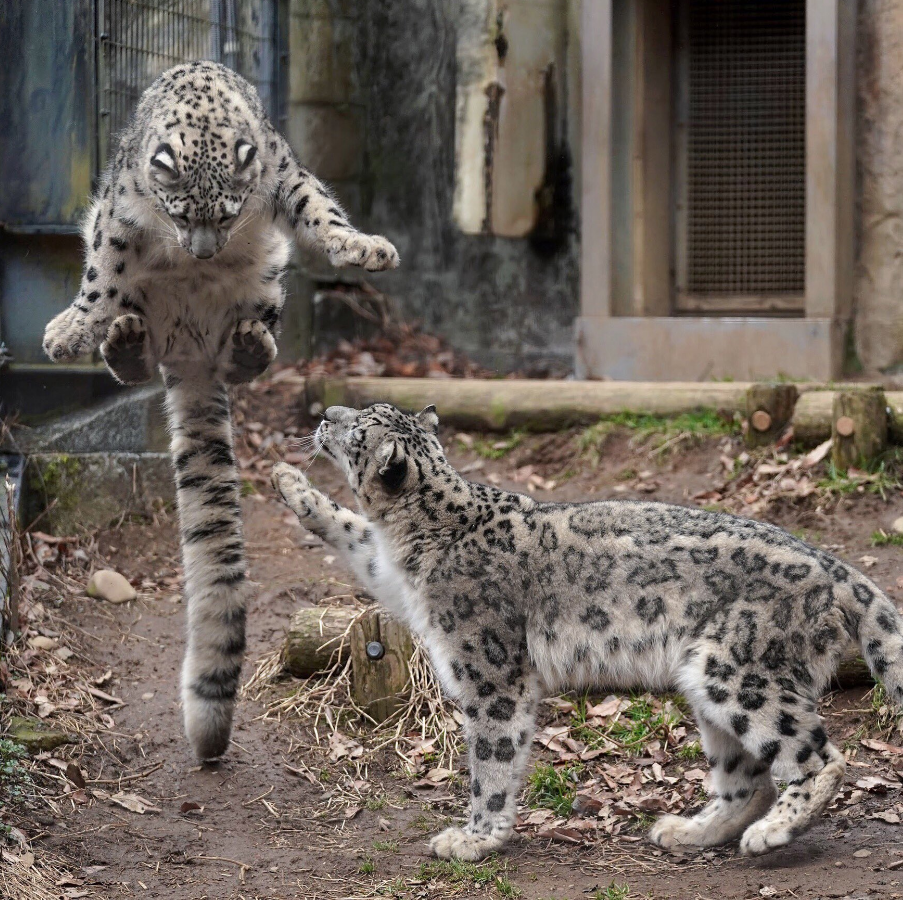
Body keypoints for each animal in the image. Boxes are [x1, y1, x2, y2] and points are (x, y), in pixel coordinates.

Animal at [39, 59, 400, 760]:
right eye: (178, 211)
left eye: (229, 211)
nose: (201, 253)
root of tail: (190, 340)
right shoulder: (118, 213)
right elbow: (102, 271)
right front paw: (69, 330)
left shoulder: (286, 178)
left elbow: (321, 211)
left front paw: (366, 248)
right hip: (151, 311)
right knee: (131, 345)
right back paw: (121, 339)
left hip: (266, 284)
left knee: (244, 352)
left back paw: (250, 343)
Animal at [272, 404, 903, 860]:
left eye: (358, 428)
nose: (326, 413)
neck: (412, 539)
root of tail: (830, 563)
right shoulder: (387, 571)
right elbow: (352, 529)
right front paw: (288, 481)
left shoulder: (490, 677)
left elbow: (493, 760)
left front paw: (475, 838)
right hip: (708, 682)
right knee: (747, 779)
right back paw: (688, 832)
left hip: (738, 670)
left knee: (818, 757)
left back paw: (773, 832)